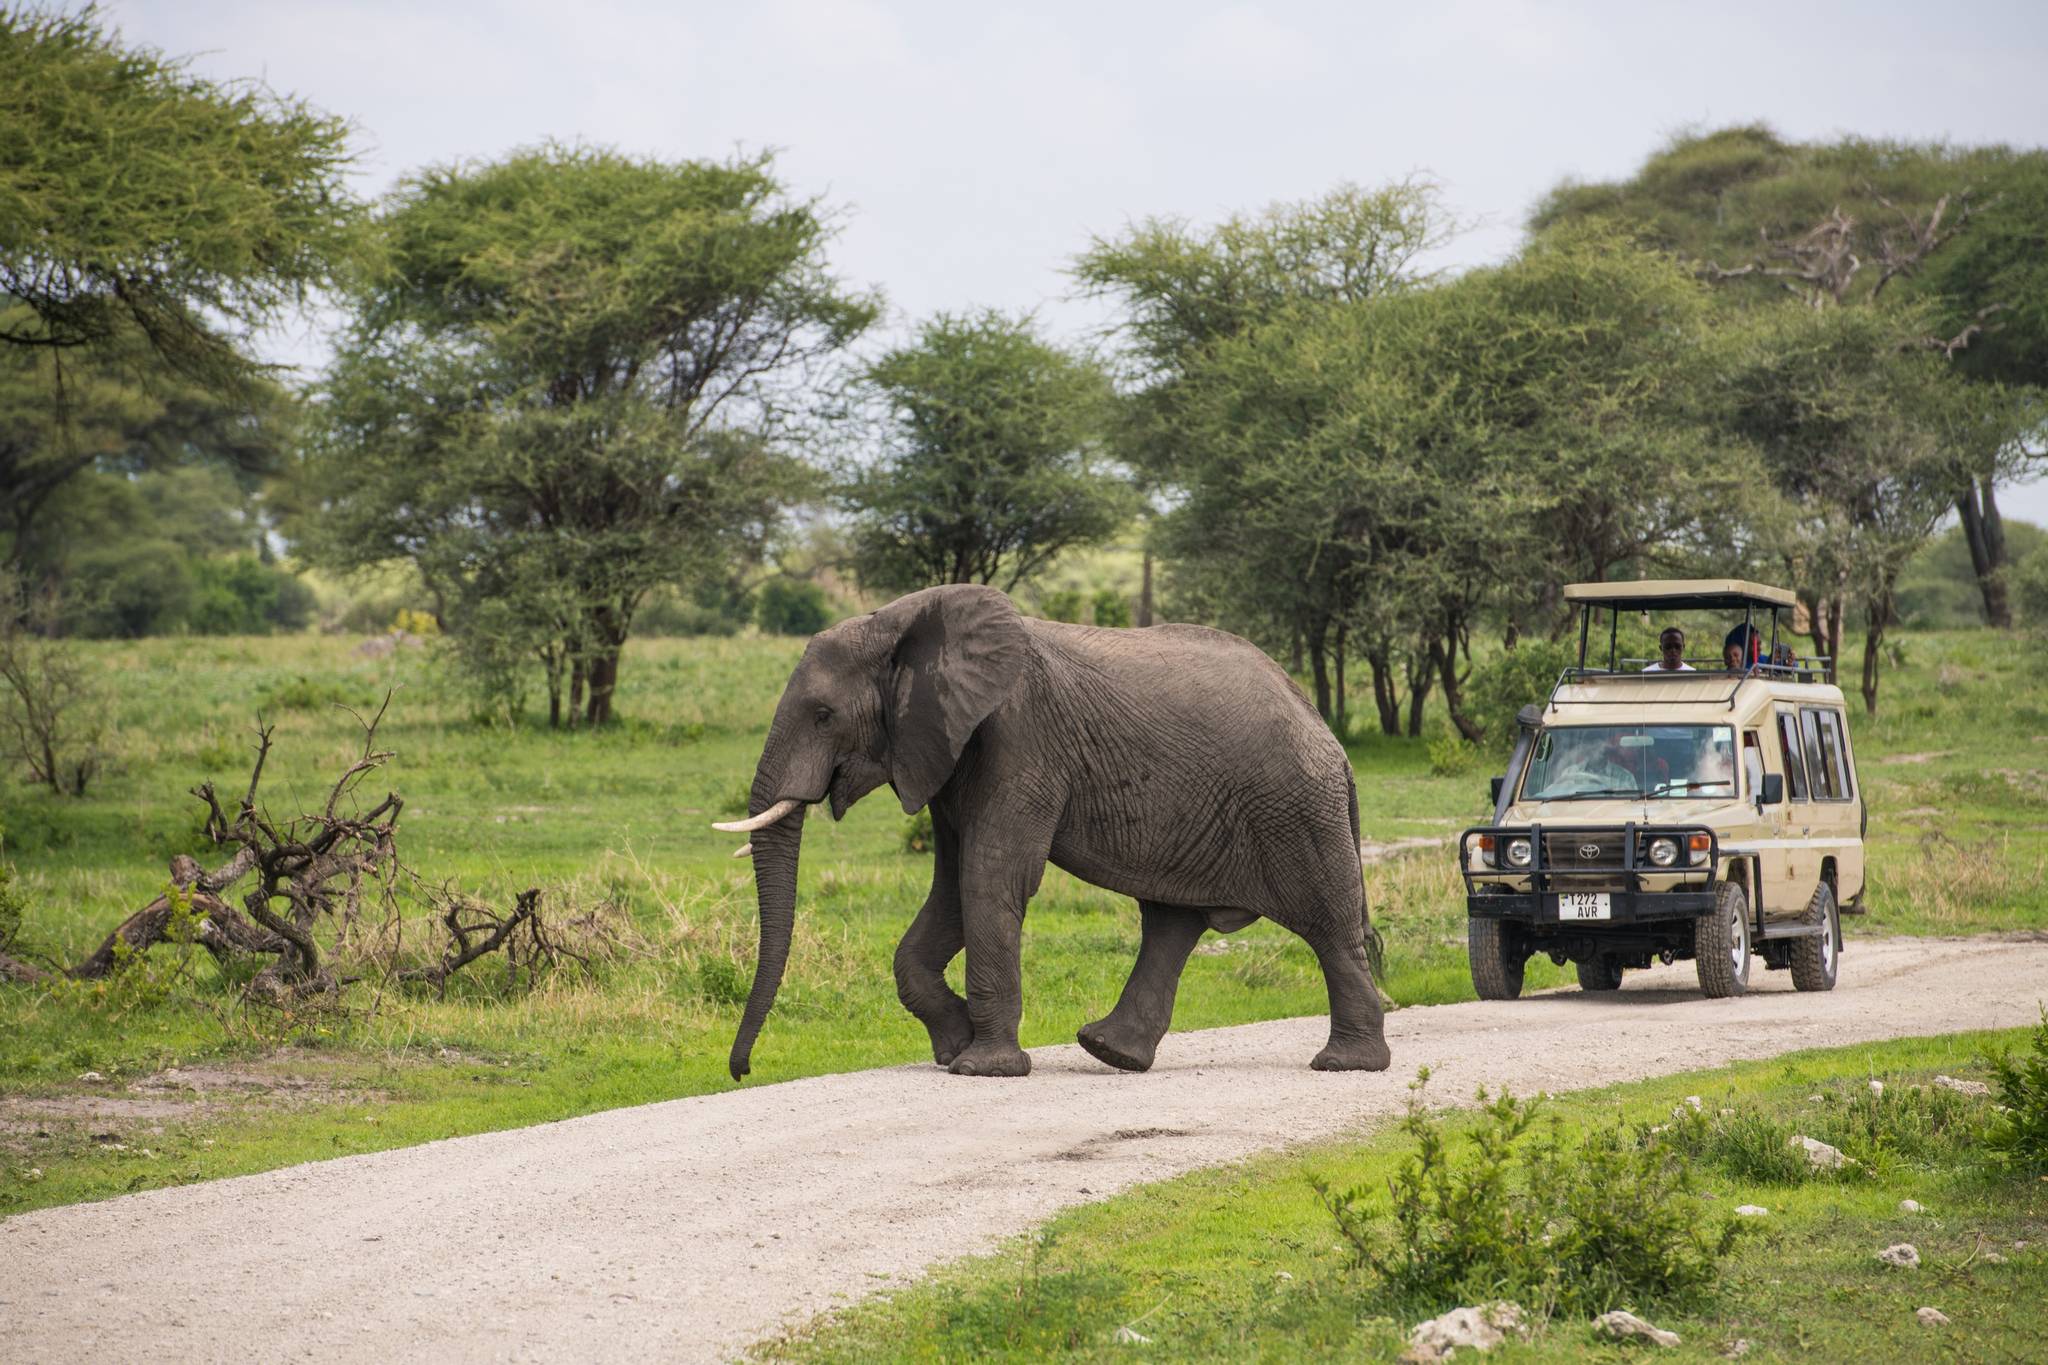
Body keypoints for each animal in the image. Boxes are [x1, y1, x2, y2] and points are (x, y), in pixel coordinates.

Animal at [708, 581, 1392, 1080]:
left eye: (823, 715)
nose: (741, 1072)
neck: (900, 623)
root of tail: (1327, 733)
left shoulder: (1020, 739)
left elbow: (990, 879)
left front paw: (981, 1070)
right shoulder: (949, 753)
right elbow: (952, 891)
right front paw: (953, 1048)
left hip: (1297, 810)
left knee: (1327, 928)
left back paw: (1346, 1065)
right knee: (1172, 923)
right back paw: (1110, 1052)